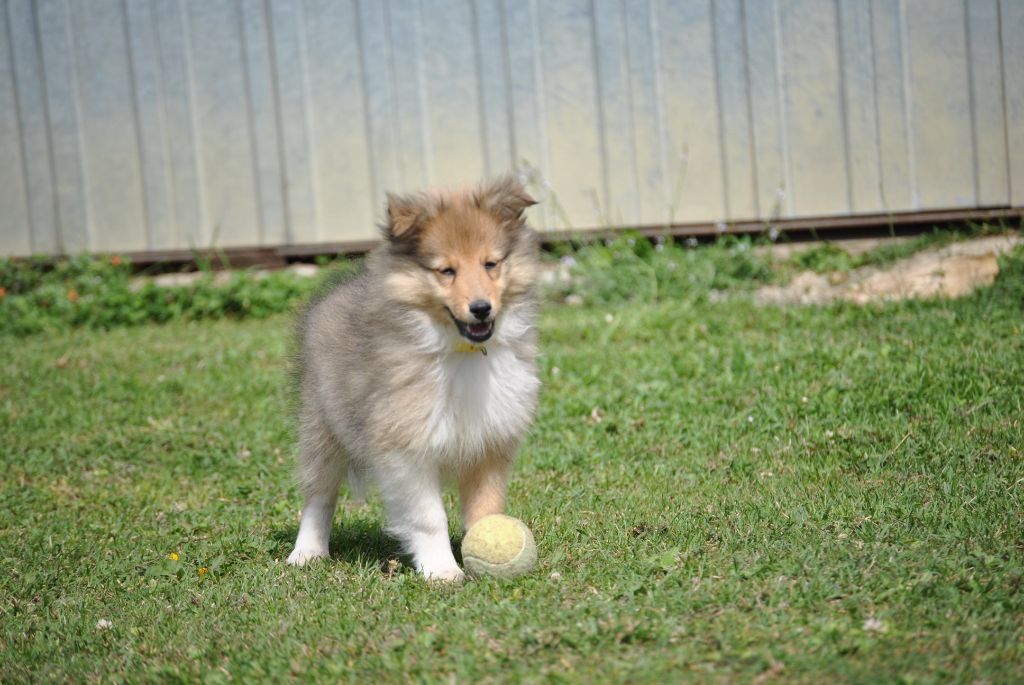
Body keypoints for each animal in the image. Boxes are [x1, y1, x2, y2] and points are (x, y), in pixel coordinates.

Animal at [286, 175, 540, 577]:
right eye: (446, 271)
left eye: (491, 264)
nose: (481, 309)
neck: (460, 352)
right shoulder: (405, 448)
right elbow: (428, 517)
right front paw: (442, 570)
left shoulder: (490, 443)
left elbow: (486, 509)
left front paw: (485, 547)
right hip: (322, 425)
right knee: (319, 495)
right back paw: (307, 552)